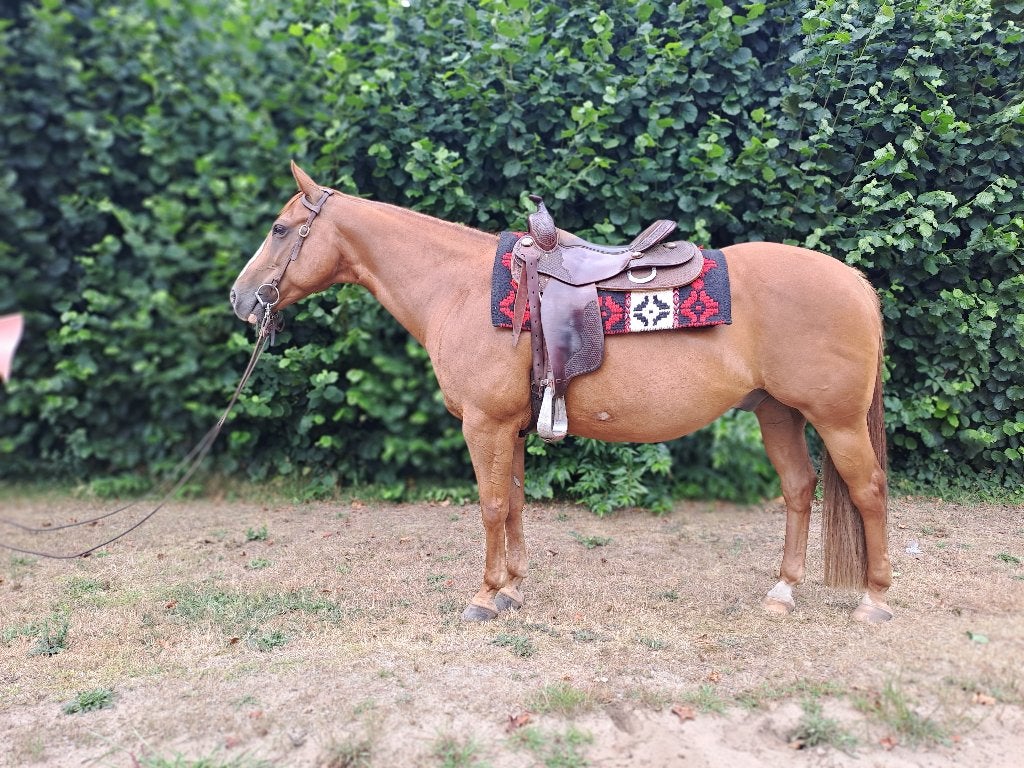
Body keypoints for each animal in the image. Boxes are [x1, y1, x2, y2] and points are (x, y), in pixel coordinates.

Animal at [230, 162, 893, 624]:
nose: (240, 299)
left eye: (280, 229)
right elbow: (516, 504)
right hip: (777, 413)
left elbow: (491, 505)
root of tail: (857, 282)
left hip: (835, 420)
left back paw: (875, 600)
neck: (458, 288)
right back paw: (782, 592)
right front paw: (513, 590)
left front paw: (484, 597)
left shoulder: (485, 425)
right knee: (799, 490)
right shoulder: (511, 428)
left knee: (868, 492)